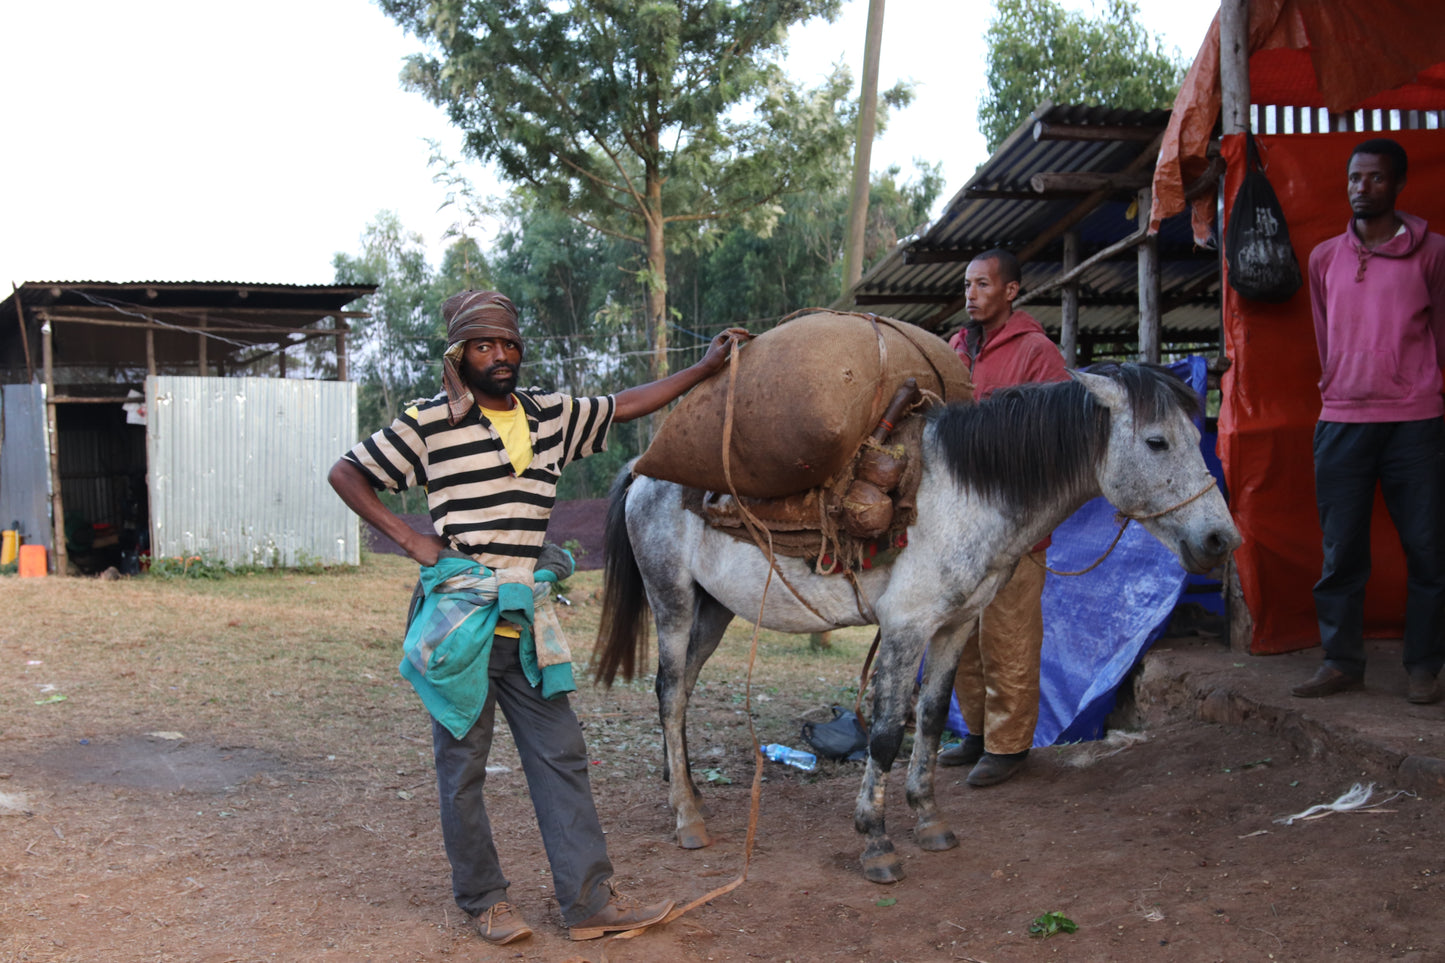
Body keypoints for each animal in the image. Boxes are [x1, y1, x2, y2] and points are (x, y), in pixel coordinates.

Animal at [589, 364, 1242, 879]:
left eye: (1197, 436)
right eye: (1157, 442)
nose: (1221, 539)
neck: (966, 496)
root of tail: (642, 470)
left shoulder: (954, 627)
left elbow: (929, 720)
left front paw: (928, 820)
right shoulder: (905, 628)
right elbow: (884, 734)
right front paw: (876, 842)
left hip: (714, 609)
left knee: (680, 693)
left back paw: (688, 791)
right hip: (672, 599)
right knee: (669, 690)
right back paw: (686, 818)